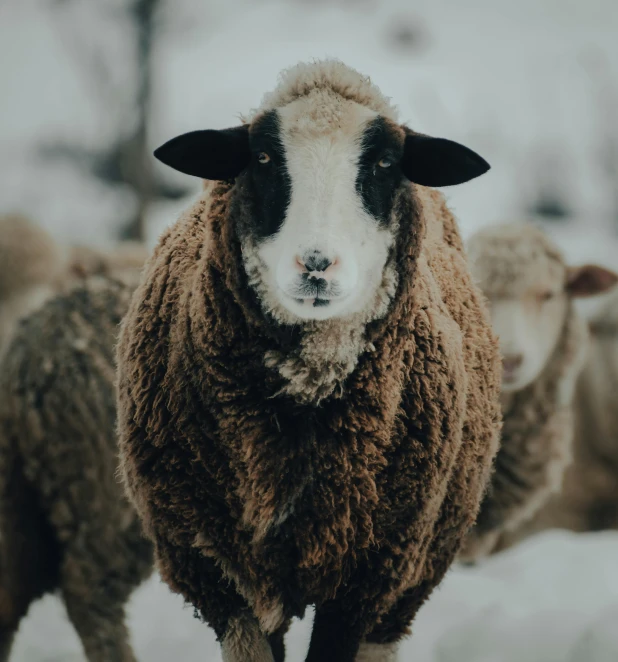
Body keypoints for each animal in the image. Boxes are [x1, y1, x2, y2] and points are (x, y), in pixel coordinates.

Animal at [115, 58, 500, 662]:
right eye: (263, 158)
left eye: (385, 164)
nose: (316, 265)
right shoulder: (216, 568)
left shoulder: (367, 575)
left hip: (410, 575)